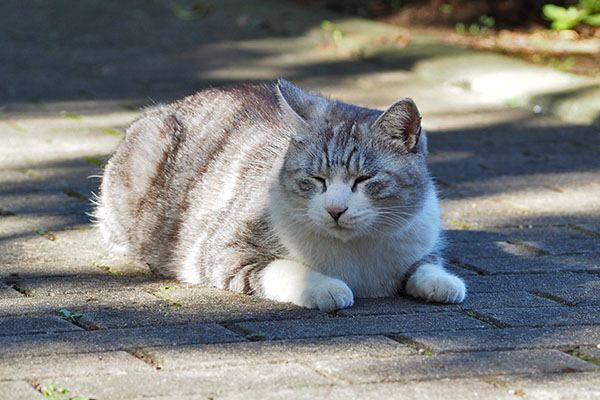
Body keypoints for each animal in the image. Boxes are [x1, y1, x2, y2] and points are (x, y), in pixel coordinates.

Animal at [95, 79, 468, 310]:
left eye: (364, 179)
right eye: (317, 179)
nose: (335, 210)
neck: (355, 253)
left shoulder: (421, 238)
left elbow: (425, 265)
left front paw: (443, 282)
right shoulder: (226, 250)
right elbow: (284, 268)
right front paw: (326, 288)